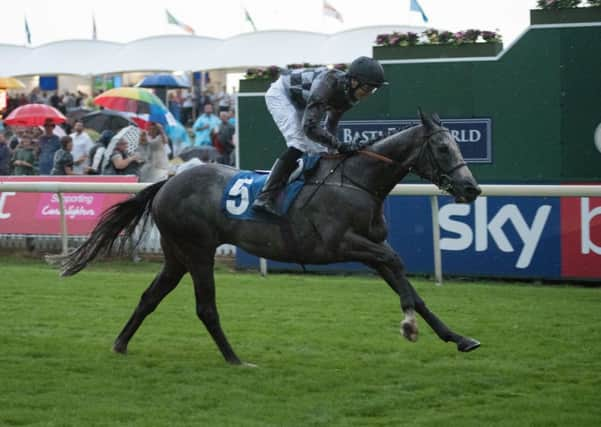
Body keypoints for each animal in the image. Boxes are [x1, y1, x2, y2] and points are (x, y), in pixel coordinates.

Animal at [61, 112, 480, 366]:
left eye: (458, 144)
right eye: (442, 147)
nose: (471, 188)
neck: (357, 180)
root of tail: (168, 181)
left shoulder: (370, 249)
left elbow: (410, 286)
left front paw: (458, 337)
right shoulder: (340, 244)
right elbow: (398, 266)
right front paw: (408, 325)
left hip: (176, 255)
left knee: (150, 297)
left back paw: (121, 343)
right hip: (198, 251)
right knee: (206, 308)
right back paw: (235, 359)